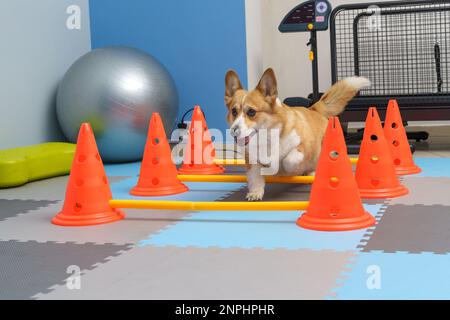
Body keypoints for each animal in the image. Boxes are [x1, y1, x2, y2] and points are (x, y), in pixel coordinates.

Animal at [224, 68, 370, 200]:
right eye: (234, 111)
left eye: (251, 112)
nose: (234, 130)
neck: (267, 138)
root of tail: (314, 109)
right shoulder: (252, 161)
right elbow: (255, 178)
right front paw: (255, 193)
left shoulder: (301, 147)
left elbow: (288, 160)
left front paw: (285, 170)